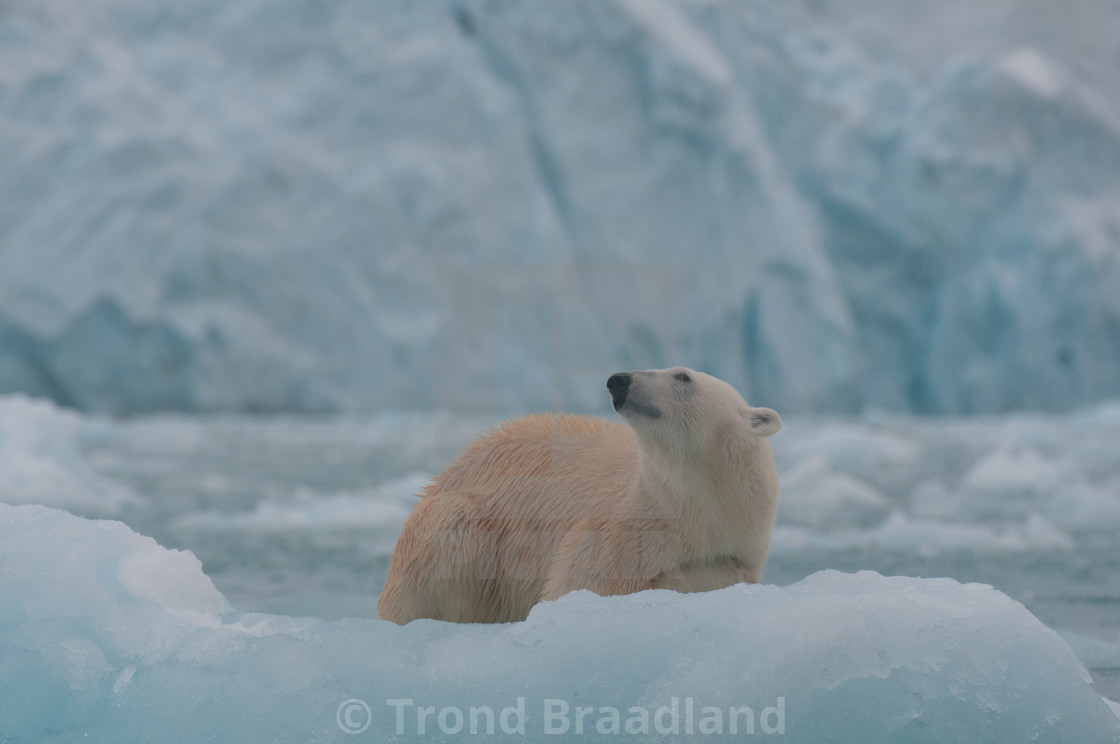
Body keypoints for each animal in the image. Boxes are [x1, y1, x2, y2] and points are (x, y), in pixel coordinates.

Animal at [376, 369, 779, 622]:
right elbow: (584, 583)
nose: (619, 381)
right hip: (463, 524)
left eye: (683, 376)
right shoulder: (622, 526)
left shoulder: (745, 535)